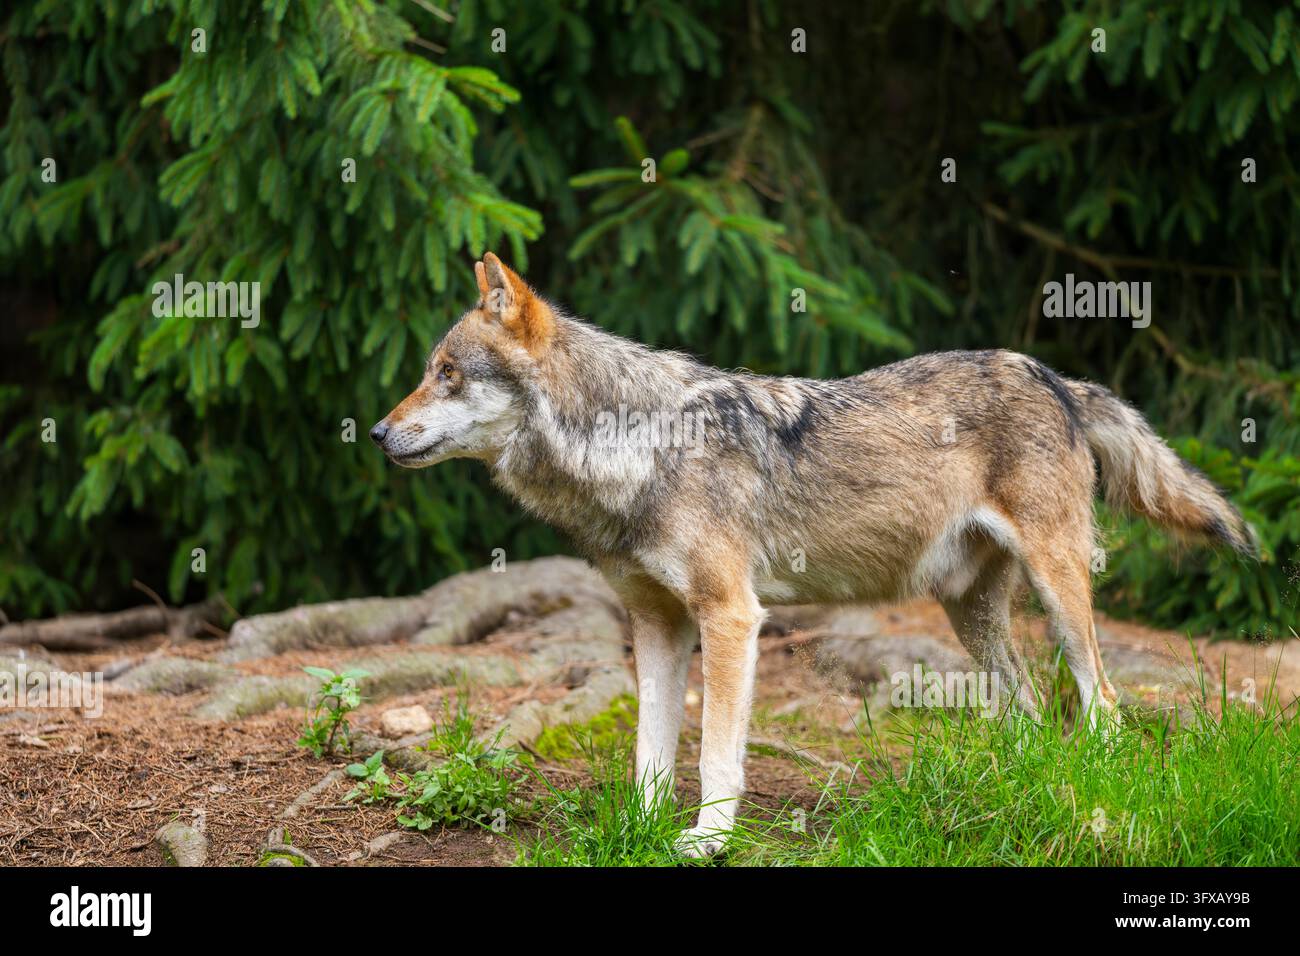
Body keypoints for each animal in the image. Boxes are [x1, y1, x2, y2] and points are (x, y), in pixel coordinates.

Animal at [370, 253, 1255, 856]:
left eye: (447, 375)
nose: (376, 432)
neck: (636, 448)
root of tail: (1057, 377)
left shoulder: (731, 618)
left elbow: (714, 758)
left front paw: (705, 844)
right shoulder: (656, 626)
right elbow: (650, 754)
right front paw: (642, 833)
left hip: (1058, 590)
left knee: (1102, 704)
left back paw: (1094, 797)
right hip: (971, 616)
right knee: (1032, 712)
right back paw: (1019, 798)